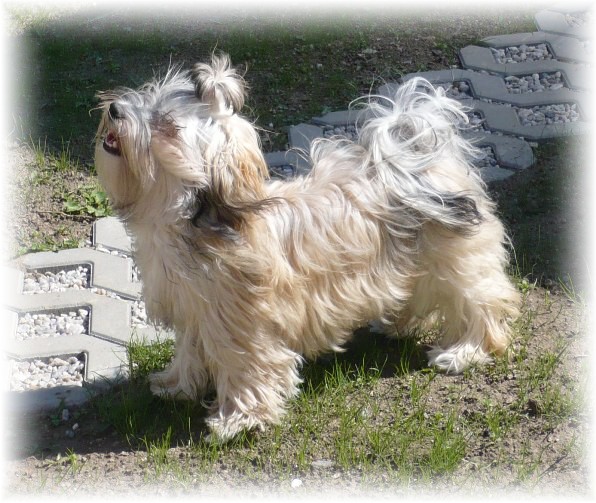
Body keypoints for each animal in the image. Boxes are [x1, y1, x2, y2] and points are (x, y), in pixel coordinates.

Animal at [94, 53, 520, 441]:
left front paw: (240, 420)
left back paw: (465, 351)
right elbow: (189, 350)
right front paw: (176, 385)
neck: (190, 221)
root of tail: (417, 163)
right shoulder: (193, 309)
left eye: (166, 126)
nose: (114, 109)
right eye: (148, 96)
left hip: (457, 259)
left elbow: (246, 366)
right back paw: (394, 323)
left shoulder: (241, 322)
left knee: (481, 301)